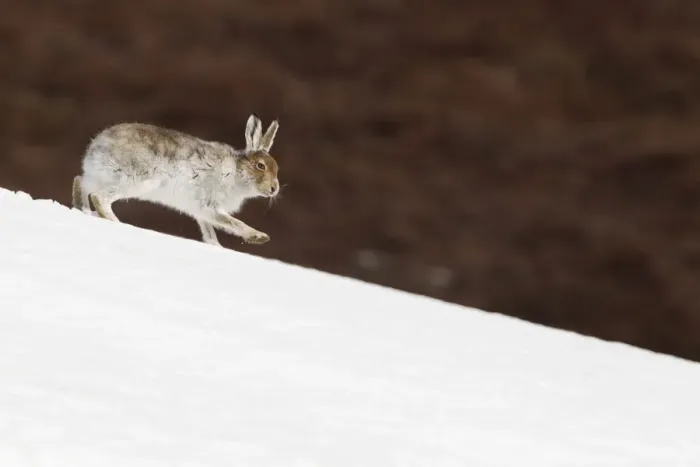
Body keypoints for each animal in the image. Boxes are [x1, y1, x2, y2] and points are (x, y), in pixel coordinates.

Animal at [72, 114, 280, 246]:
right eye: (260, 166)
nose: (274, 189)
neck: (237, 172)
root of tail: (97, 147)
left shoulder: (201, 212)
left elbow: (210, 235)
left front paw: (217, 247)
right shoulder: (209, 205)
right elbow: (234, 223)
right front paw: (259, 237)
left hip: (99, 178)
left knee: (79, 182)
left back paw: (83, 210)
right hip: (139, 181)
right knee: (99, 197)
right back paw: (118, 222)